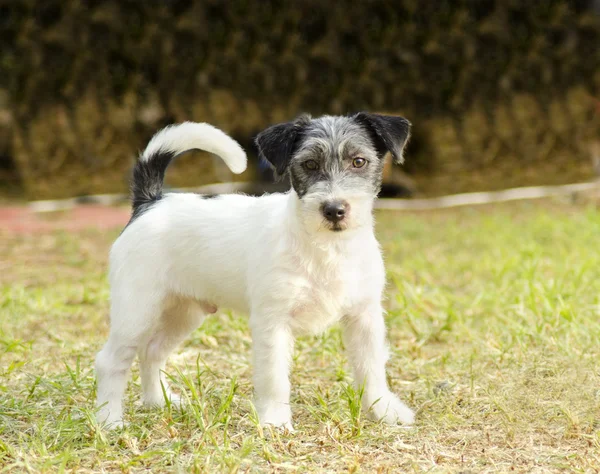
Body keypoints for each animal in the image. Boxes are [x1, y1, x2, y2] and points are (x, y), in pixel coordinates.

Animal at [97, 112, 418, 430]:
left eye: (359, 161)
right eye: (309, 164)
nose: (334, 209)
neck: (327, 249)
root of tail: (150, 202)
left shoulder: (364, 317)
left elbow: (372, 368)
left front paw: (384, 410)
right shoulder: (273, 323)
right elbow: (275, 378)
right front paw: (275, 421)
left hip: (182, 313)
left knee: (151, 353)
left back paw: (159, 402)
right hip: (137, 312)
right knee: (110, 361)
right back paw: (109, 419)